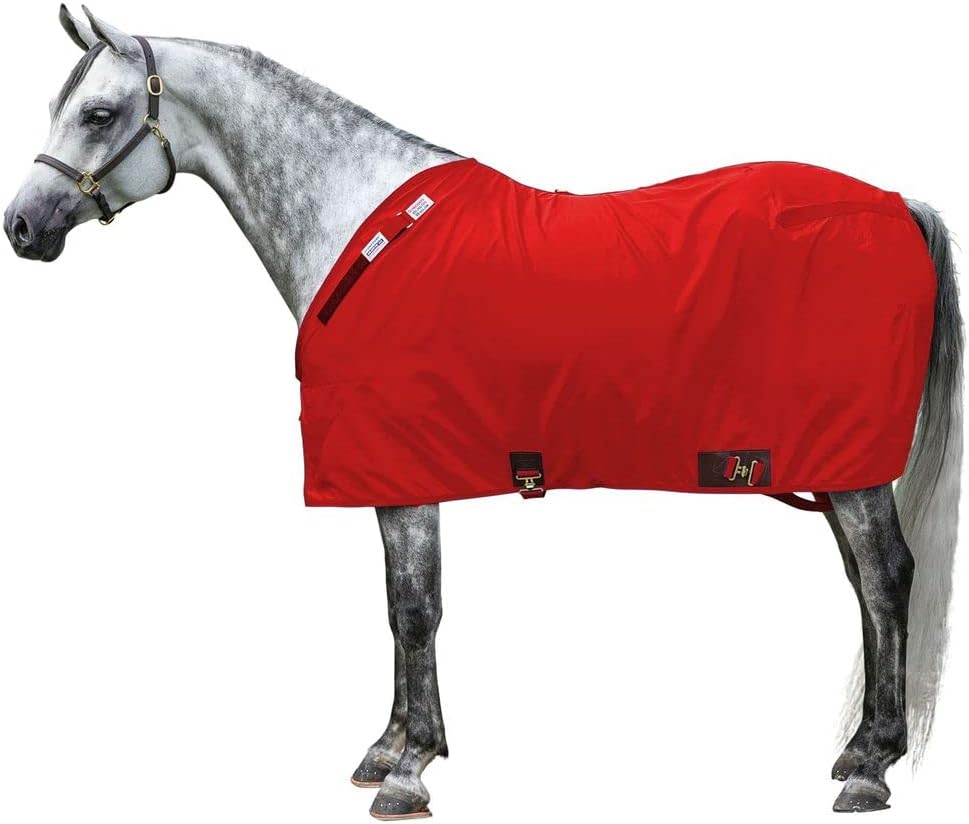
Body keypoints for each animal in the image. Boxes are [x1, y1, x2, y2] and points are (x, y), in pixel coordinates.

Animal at [4, 7, 962, 819]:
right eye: (60, 107)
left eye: (97, 114)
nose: (21, 226)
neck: (362, 237)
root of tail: (894, 203)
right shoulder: (392, 474)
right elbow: (397, 608)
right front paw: (389, 746)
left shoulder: (405, 471)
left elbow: (414, 609)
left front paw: (409, 768)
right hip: (828, 466)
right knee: (863, 586)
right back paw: (857, 751)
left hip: (846, 467)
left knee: (886, 579)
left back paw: (871, 768)